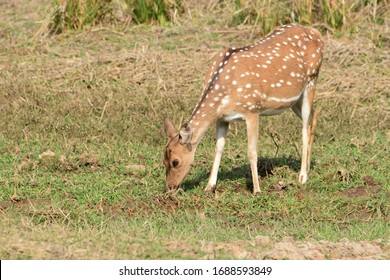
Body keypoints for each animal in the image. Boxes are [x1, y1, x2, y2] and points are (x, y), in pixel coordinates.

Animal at [161, 24, 322, 194]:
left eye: (175, 161)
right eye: (163, 160)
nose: (170, 187)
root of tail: (316, 33)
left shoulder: (252, 109)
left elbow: (252, 151)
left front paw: (257, 190)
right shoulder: (222, 118)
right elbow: (218, 148)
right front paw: (209, 186)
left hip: (311, 81)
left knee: (305, 129)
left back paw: (302, 177)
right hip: (294, 100)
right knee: (314, 117)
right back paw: (308, 168)